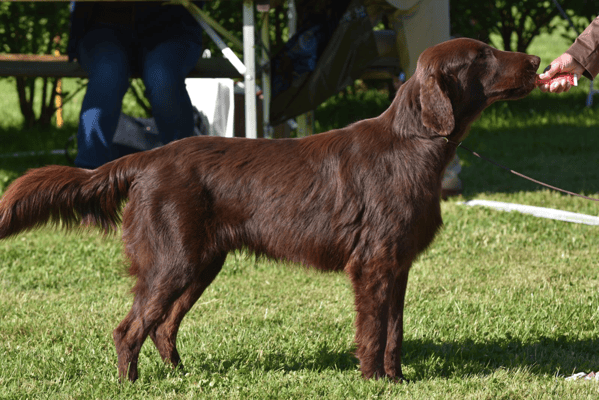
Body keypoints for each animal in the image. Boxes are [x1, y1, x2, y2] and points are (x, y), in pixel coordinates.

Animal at [0, 38, 540, 382]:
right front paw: (374, 382)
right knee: (129, 329)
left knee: (163, 327)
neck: (412, 143)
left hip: (199, 263)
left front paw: (398, 379)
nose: (537, 60)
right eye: (483, 55)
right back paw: (130, 384)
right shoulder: (373, 264)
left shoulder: (398, 264)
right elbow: (373, 332)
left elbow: (394, 333)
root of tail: (145, 158)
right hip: (172, 262)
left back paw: (181, 376)